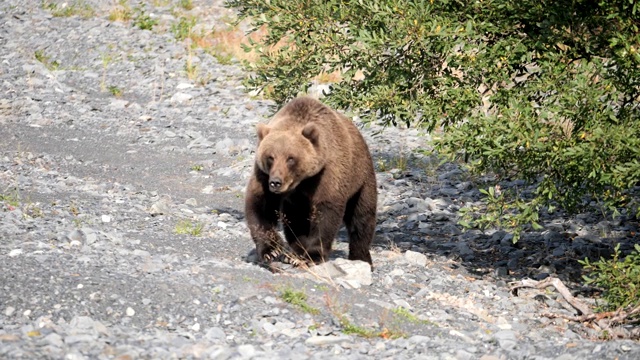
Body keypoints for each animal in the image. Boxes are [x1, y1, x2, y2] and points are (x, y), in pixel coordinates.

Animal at [244, 95, 376, 268]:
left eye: (290, 158)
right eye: (270, 157)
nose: (276, 182)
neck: (301, 181)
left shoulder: (327, 174)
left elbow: (326, 213)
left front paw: (312, 255)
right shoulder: (263, 175)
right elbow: (260, 204)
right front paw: (271, 250)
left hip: (361, 178)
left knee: (362, 217)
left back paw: (361, 257)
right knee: (295, 219)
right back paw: (295, 251)